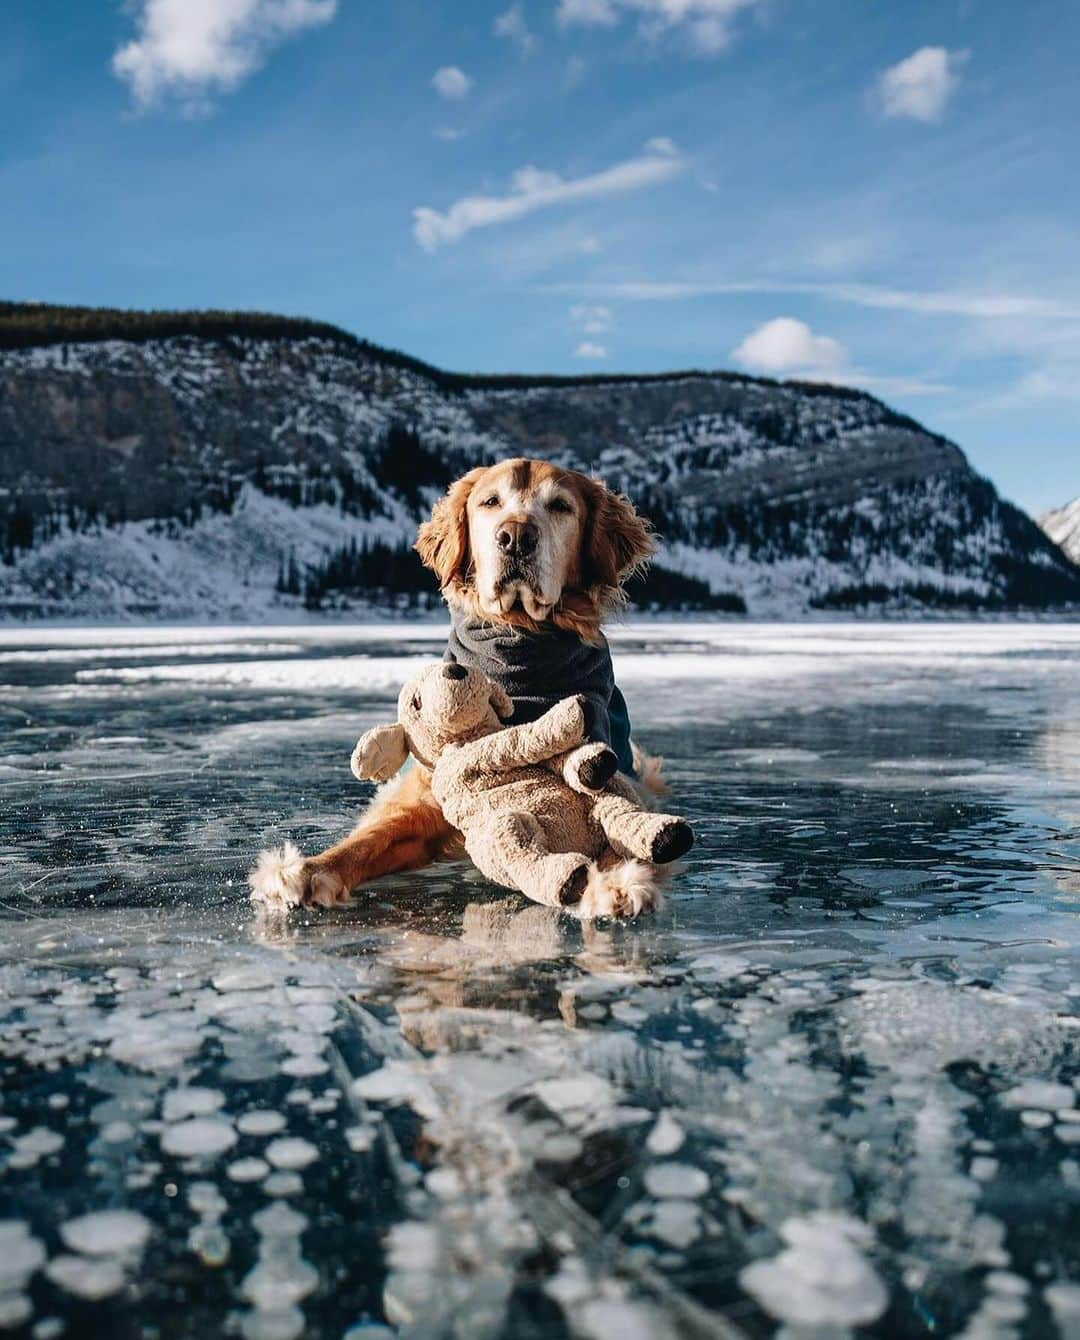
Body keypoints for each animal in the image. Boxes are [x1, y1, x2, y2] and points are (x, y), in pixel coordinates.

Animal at [253, 460, 656, 911]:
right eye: (490, 502)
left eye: (560, 506)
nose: (516, 536)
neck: (518, 641)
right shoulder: (424, 798)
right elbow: (371, 838)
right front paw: (304, 872)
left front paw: (615, 882)